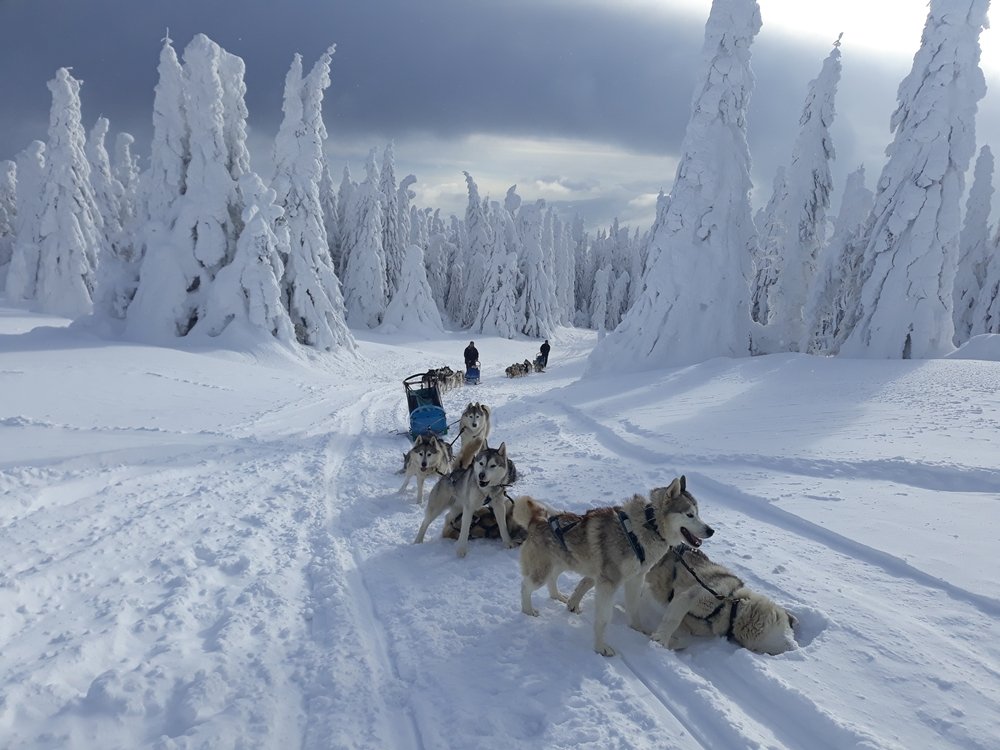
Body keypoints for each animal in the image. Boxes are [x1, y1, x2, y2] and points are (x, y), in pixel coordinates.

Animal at [512, 478, 716, 656]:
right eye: (689, 514)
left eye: (698, 513)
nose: (711, 530)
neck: (648, 527)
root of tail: (537, 519)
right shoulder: (608, 583)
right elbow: (603, 619)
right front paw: (600, 648)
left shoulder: (635, 579)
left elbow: (633, 609)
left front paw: (638, 629)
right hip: (542, 570)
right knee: (525, 585)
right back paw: (528, 610)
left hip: (562, 562)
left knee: (552, 579)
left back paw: (557, 596)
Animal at [648, 548, 796, 656]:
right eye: (789, 628)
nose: (795, 647)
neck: (733, 608)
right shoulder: (691, 597)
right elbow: (673, 620)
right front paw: (661, 639)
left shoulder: (691, 623)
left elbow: (685, 639)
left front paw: (665, 641)